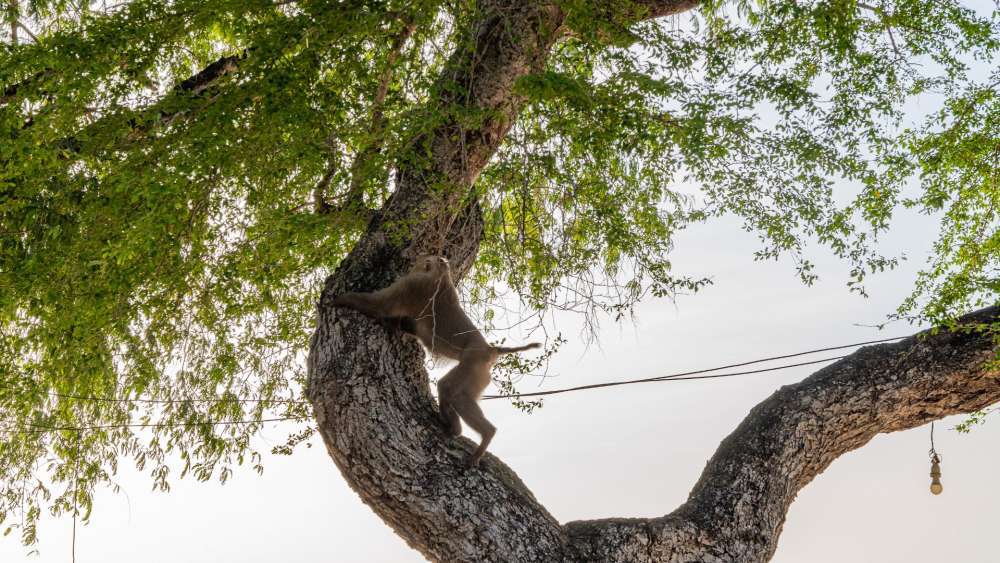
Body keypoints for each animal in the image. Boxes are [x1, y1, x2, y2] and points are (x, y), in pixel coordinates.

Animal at [334, 256, 540, 468]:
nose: (417, 263)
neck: (441, 275)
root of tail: (490, 349)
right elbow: (408, 323)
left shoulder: (412, 284)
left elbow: (380, 305)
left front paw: (339, 299)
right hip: (480, 374)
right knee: (450, 391)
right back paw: (457, 428)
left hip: (472, 366)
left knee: (451, 390)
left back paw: (480, 433)